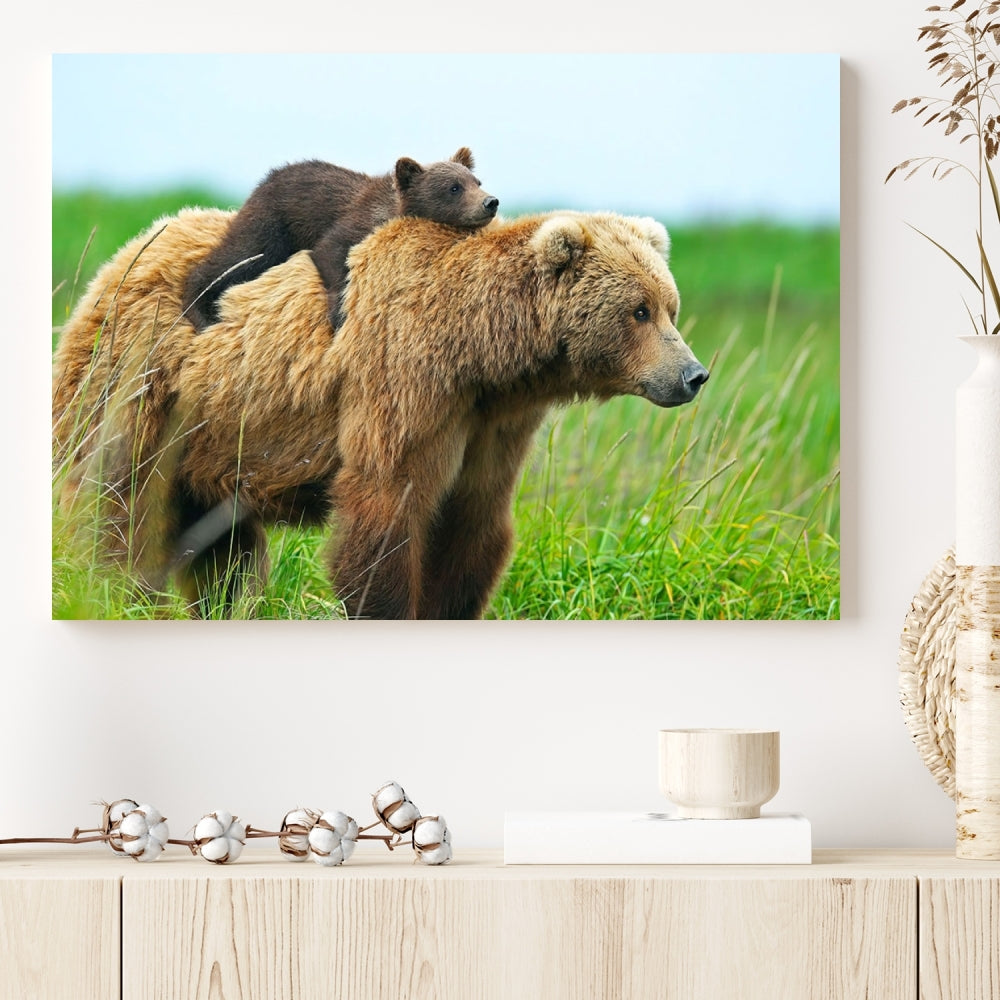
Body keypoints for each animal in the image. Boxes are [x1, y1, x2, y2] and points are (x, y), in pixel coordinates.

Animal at [52, 207, 709, 619]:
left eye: (670, 305)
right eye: (639, 310)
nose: (693, 375)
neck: (480, 353)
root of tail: (121, 257)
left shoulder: (490, 424)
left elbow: (473, 524)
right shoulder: (403, 382)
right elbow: (386, 511)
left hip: (213, 441)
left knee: (222, 548)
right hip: (139, 385)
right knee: (115, 503)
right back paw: (110, 594)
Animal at [181, 148, 498, 331]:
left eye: (476, 181)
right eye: (454, 187)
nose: (490, 202)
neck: (392, 209)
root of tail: (267, 178)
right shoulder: (353, 222)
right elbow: (330, 251)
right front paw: (338, 315)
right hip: (272, 223)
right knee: (238, 256)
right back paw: (199, 311)